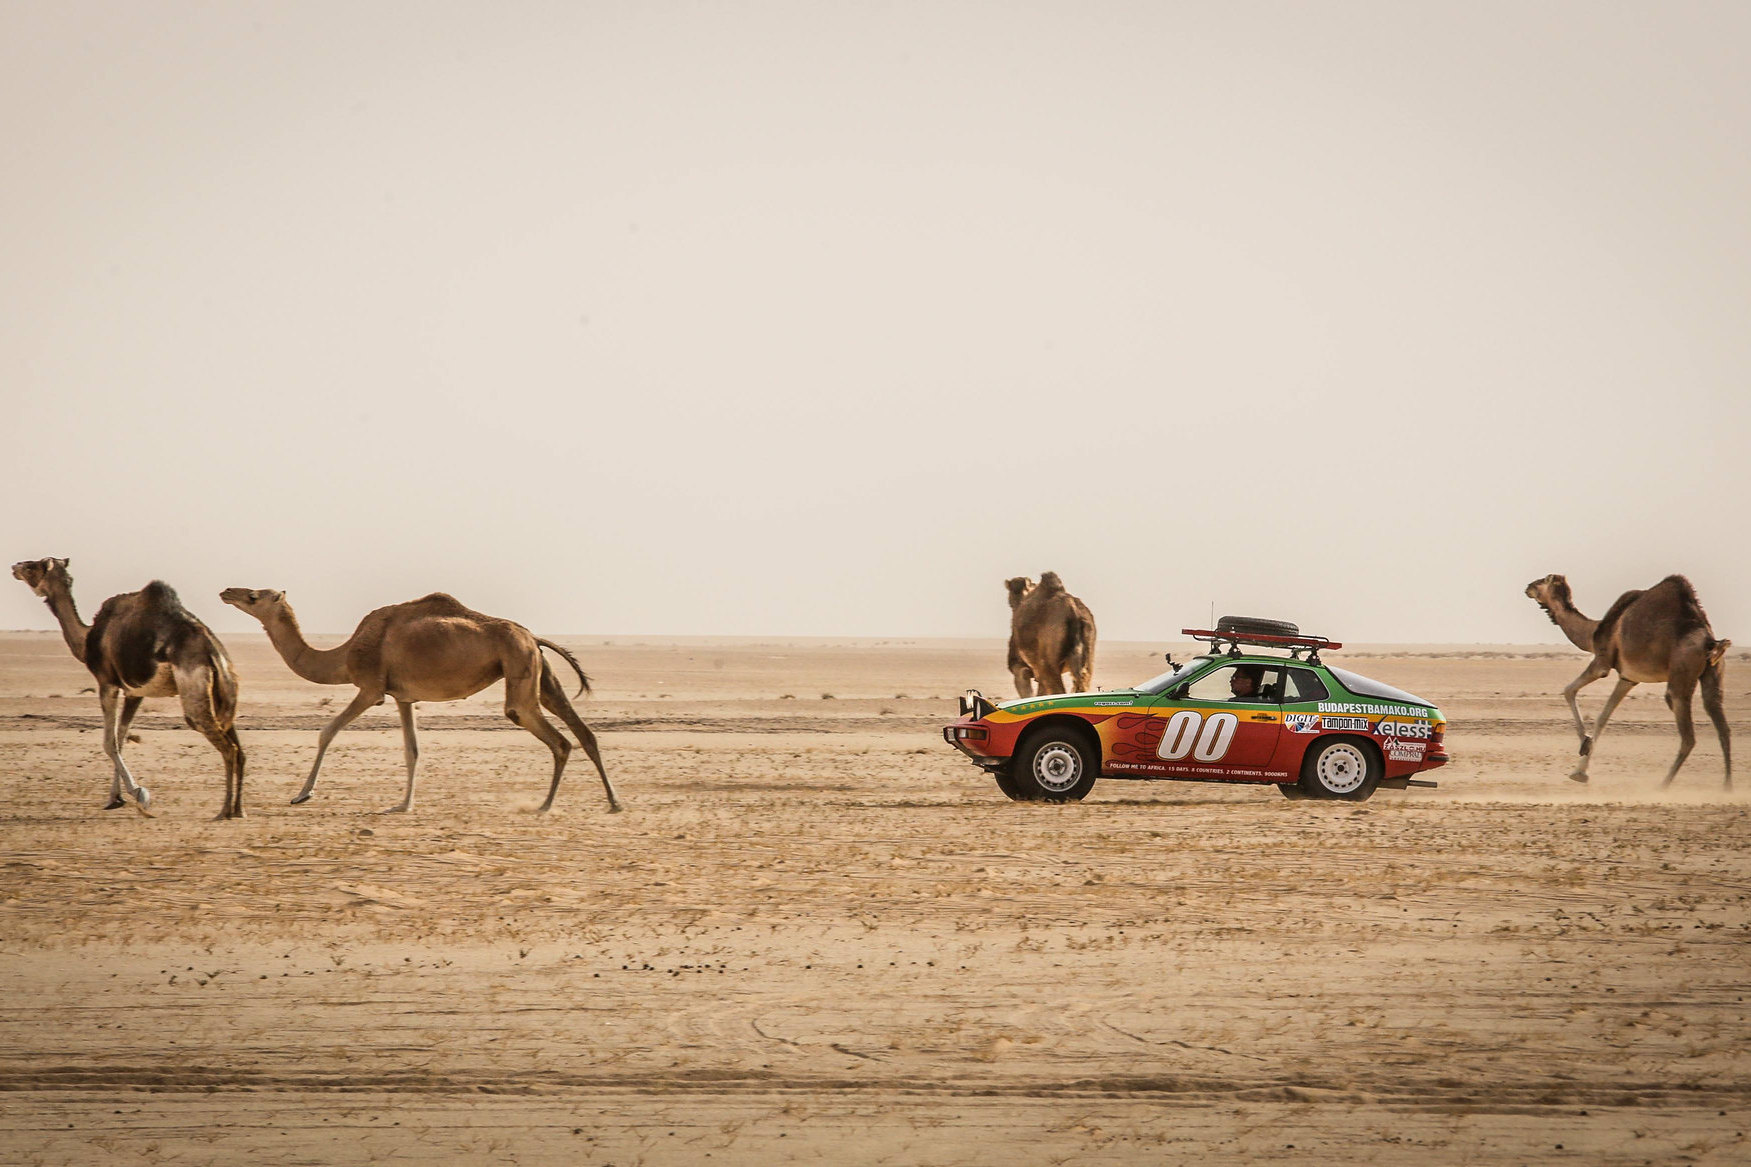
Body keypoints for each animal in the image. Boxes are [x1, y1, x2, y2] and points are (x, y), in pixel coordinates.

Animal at [12, 557, 246, 813]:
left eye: (33, 566)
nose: (15, 567)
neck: (86, 640)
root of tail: (215, 653)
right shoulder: (135, 692)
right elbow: (121, 737)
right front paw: (116, 797)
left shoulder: (107, 682)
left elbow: (109, 743)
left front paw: (139, 794)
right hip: (223, 693)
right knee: (238, 748)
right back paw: (238, 809)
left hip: (194, 691)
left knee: (225, 745)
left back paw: (225, 811)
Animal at [218, 585, 619, 813]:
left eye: (254, 596)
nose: (226, 591)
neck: (344, 655)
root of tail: (533, 636)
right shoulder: (402, 697)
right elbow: (412, 749)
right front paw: (404, 804)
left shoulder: (371, 688)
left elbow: (327, 731)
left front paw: (302, 795)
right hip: (536, 670)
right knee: (582, 731)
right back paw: (612, 802)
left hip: (519, 672)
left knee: (555, 736)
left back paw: (546, 805)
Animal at [1526, 571, 1729, 785]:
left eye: (1543, 580)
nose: (1527, 587)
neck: (1593, 631)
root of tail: (1710, 642)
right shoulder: (1628, 677)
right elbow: (1603, 717)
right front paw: (1581, 768)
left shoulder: (1602, 662)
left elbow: (1569, 690)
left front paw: (1584, 745)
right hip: (1713, 673)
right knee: (1722, 725)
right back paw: (1727, 786)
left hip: (1681, 675)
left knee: (1688, 735)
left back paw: (1663, 786)